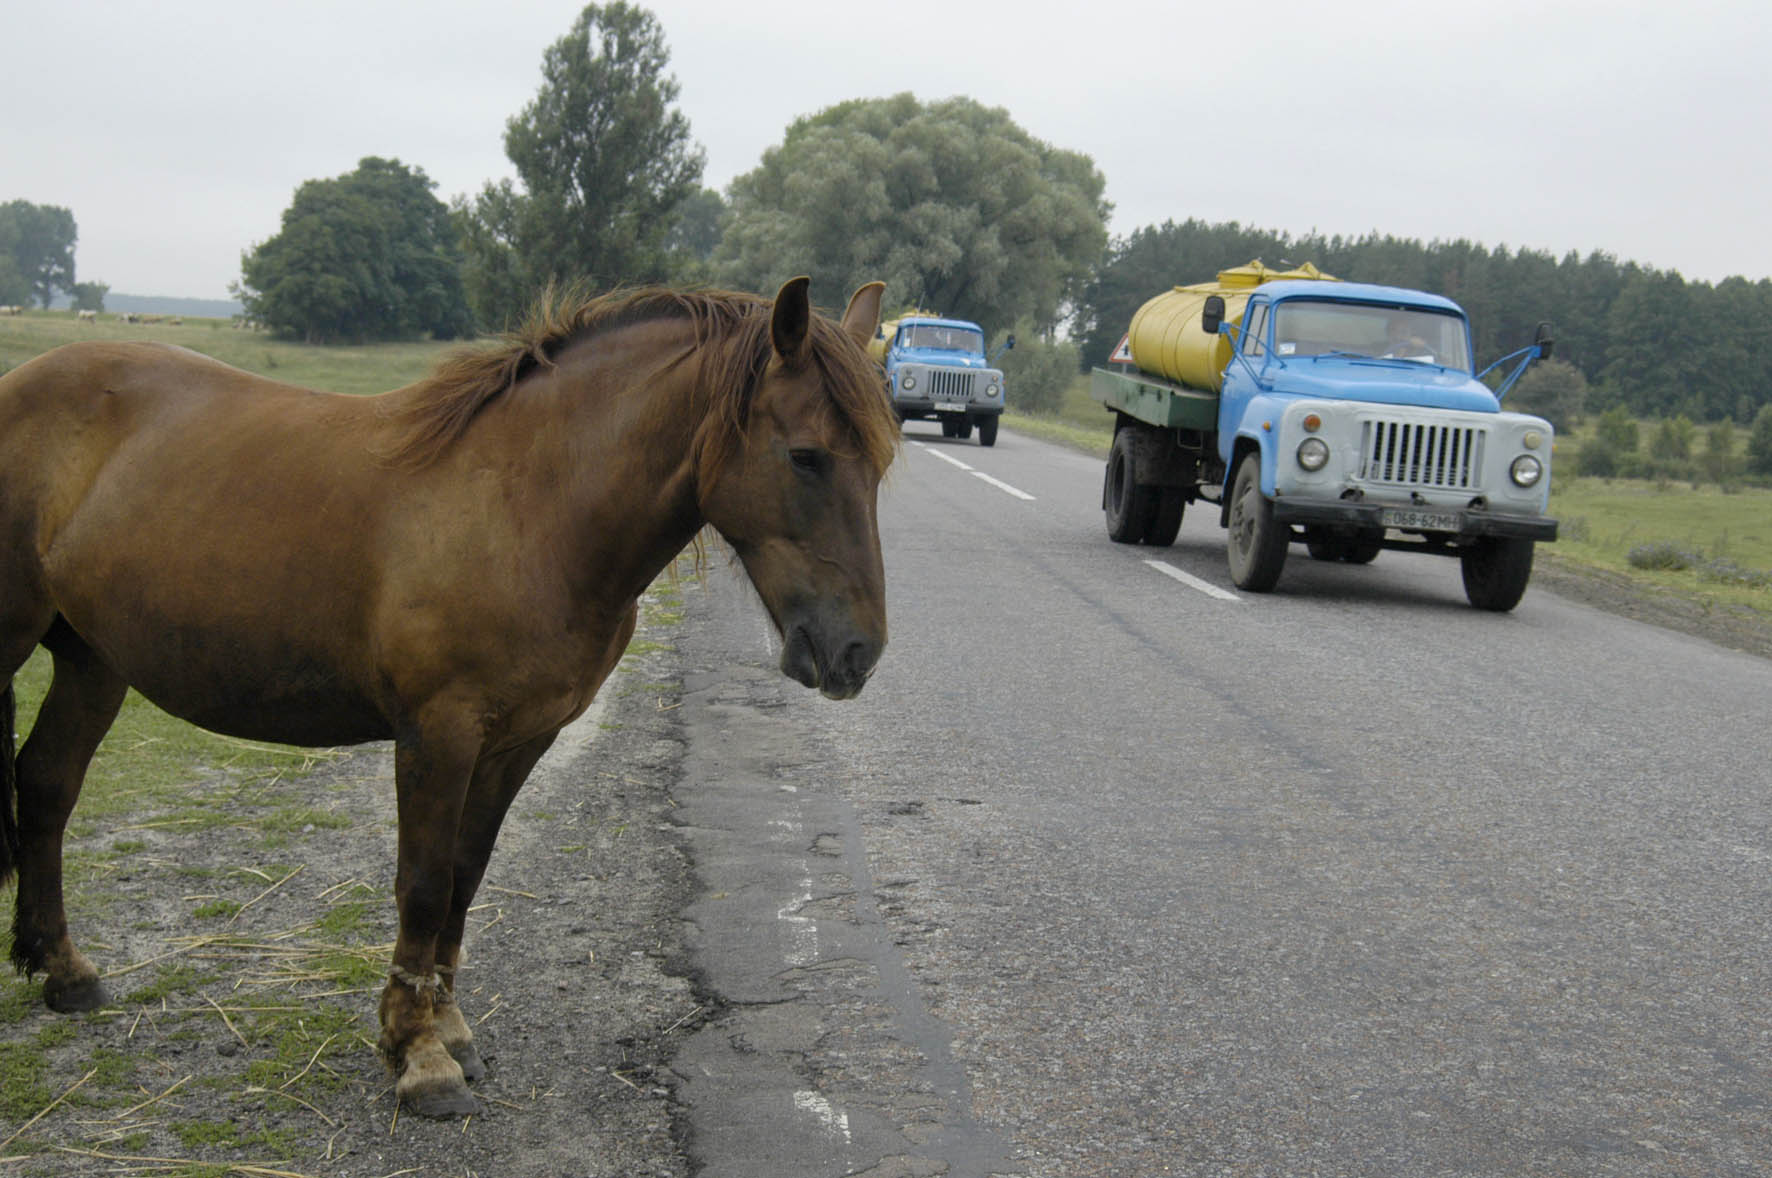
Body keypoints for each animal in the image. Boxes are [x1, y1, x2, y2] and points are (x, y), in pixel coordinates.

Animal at [0, 276, 893, 1112]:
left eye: (879, 465)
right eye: (805, 455)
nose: (857, 652)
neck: (529, 508)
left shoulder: (519, 740)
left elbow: (466, 876)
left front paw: (449, 1027)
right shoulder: (439, 734)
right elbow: (424, 887)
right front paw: (419, 1054)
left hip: (93, 660)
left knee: (45, 785)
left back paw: (65, 971)